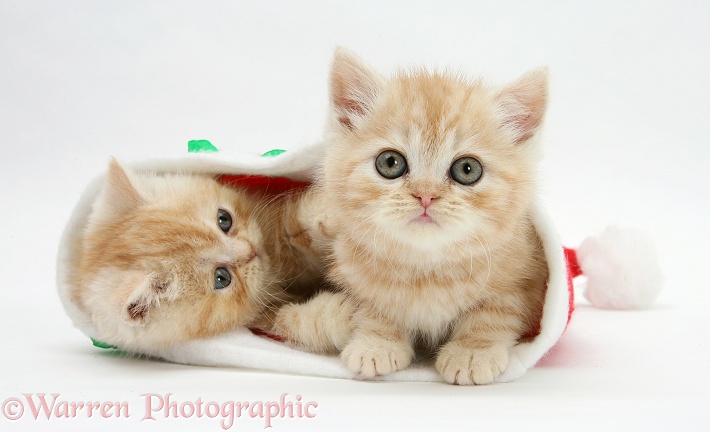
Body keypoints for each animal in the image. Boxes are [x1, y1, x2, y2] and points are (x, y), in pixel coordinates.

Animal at [276, 49, 552, 384]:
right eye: (390, 163)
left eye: (468, 169)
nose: (425, 195)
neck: (427, 269)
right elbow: (375, 308)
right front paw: (378, 344)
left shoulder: (524, 274)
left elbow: (495, 312)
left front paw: (472, 352)